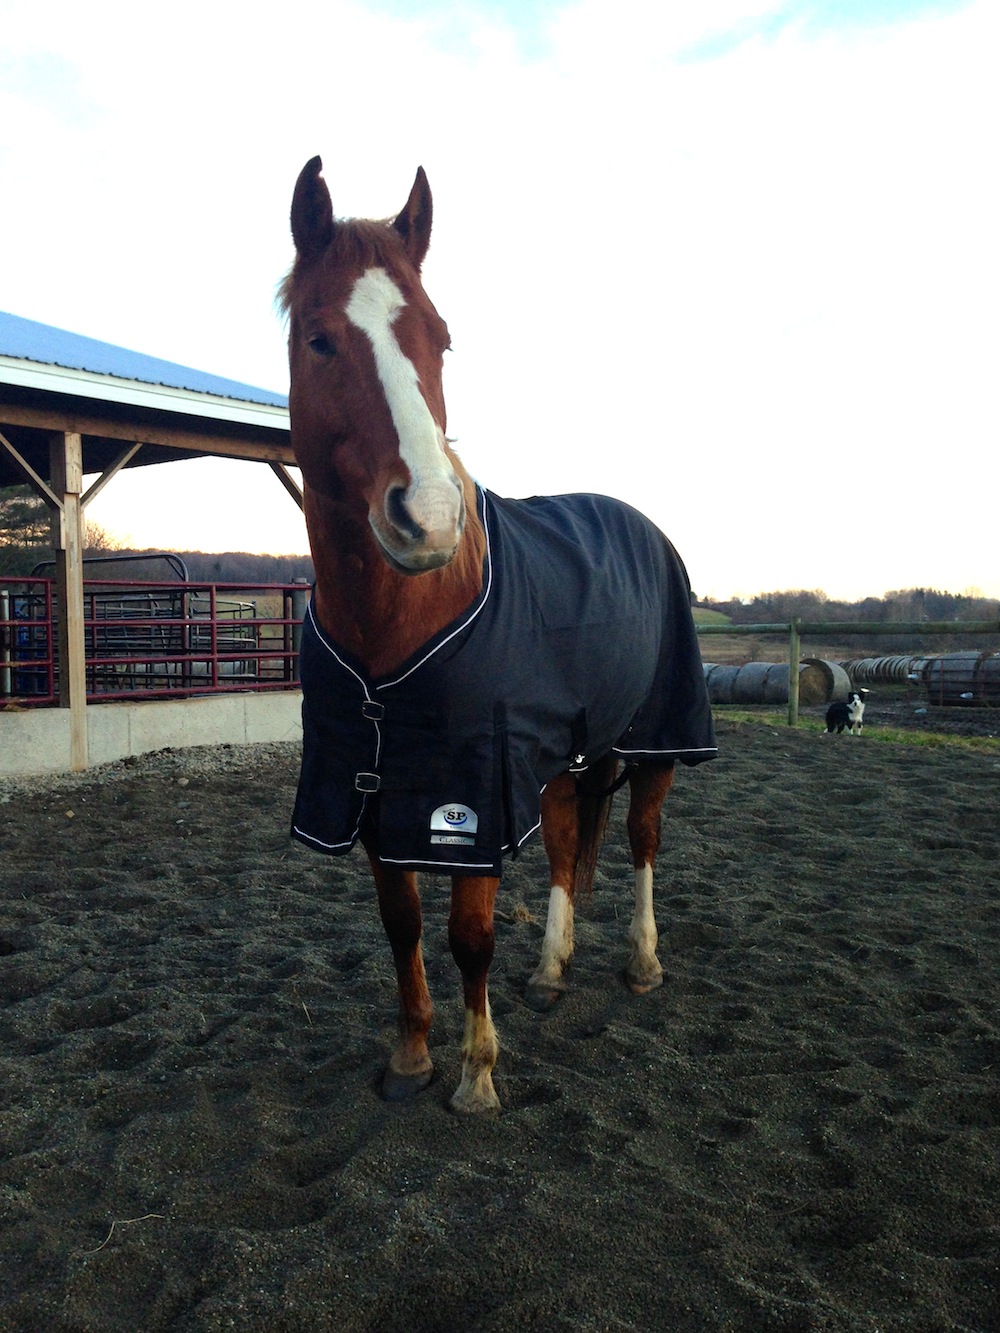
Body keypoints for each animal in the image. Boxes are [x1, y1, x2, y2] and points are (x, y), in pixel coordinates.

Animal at [281, 157, 716, 1114]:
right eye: (319, 339)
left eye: (441, 338)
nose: (430, 516)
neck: (401, 617)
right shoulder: (381, 790)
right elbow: (402, 922)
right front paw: (411, 1055)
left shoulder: (467, 795)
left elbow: (468, 935)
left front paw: (477, 1074)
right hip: (562, 759)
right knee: (561, 846)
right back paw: (552, 970)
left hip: (659, 742)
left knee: (642, 841)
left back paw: (642, 961)